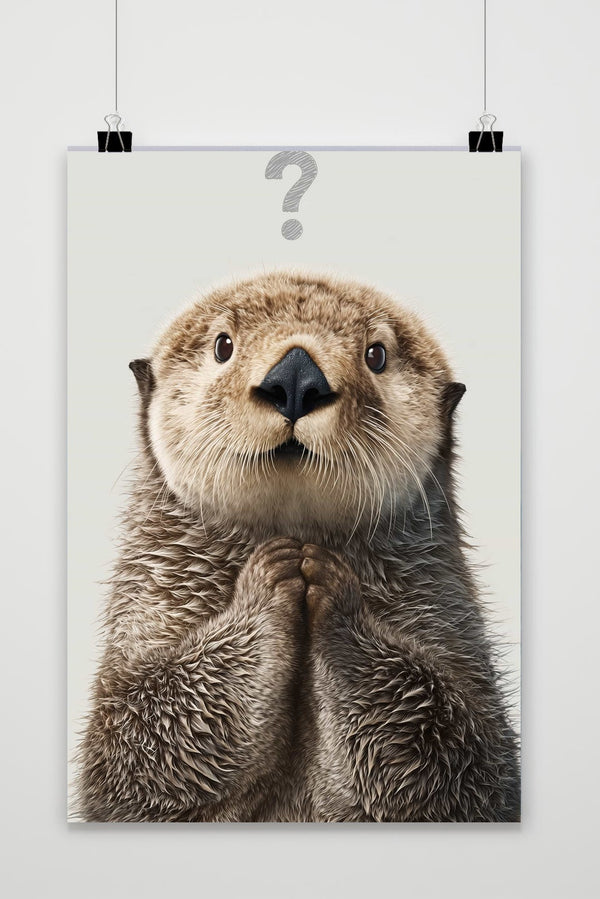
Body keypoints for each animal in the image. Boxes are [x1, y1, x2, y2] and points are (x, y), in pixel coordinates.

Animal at [76, 270, 520, 822]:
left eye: (376, 354)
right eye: (223, 346)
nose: (294, 379)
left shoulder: (446, 621)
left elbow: (458, 752)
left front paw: (328, 584)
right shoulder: (150, 607)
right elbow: (138, 740)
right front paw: (274, 574)